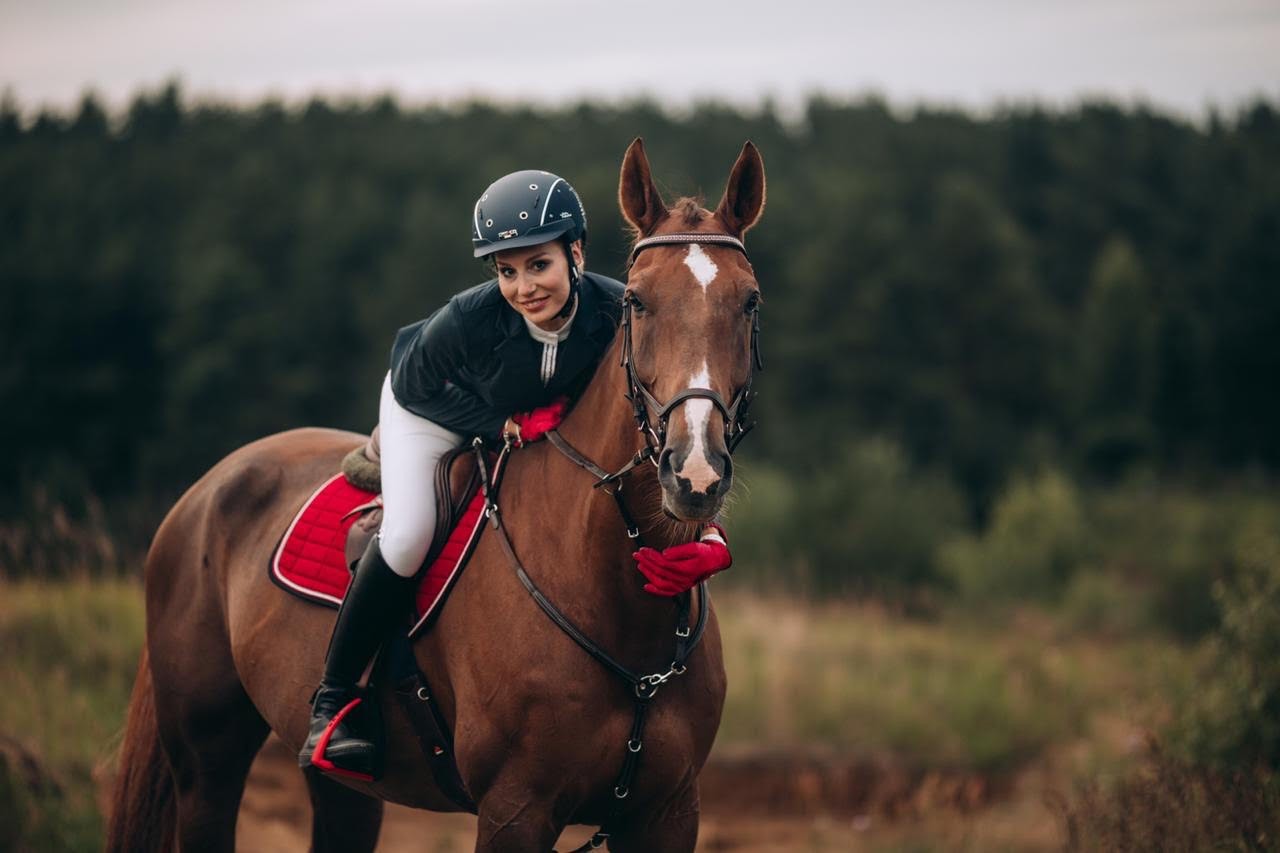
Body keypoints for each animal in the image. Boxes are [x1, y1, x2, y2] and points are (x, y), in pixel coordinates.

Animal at [107, 139, 757, 850]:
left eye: (750, 301)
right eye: (636, 302)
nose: (694, 472)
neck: (619, 599)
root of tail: (207, 489)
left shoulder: (668, 812)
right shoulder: (515, 810)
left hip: (343, 789)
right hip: (207, 763)